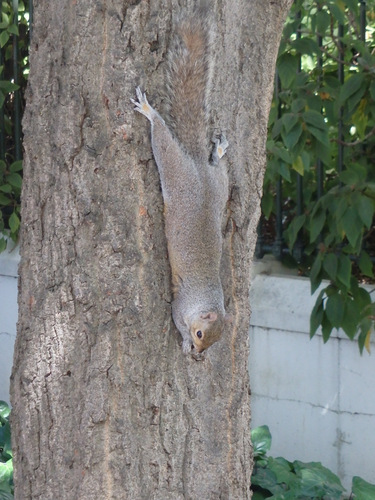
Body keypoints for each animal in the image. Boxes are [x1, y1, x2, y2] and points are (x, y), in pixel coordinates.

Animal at [132, 10, 232, 356]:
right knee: (163, 142)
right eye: (201, 334)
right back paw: (150, 113)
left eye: (214, 341)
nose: (200, 355)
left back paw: (218, 151)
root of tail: (197, 168)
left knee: (219, 171)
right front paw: (185, 343)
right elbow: (176, 320)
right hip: (176, 171)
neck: (204, 300)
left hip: (220, 187)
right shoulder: (180, 306)